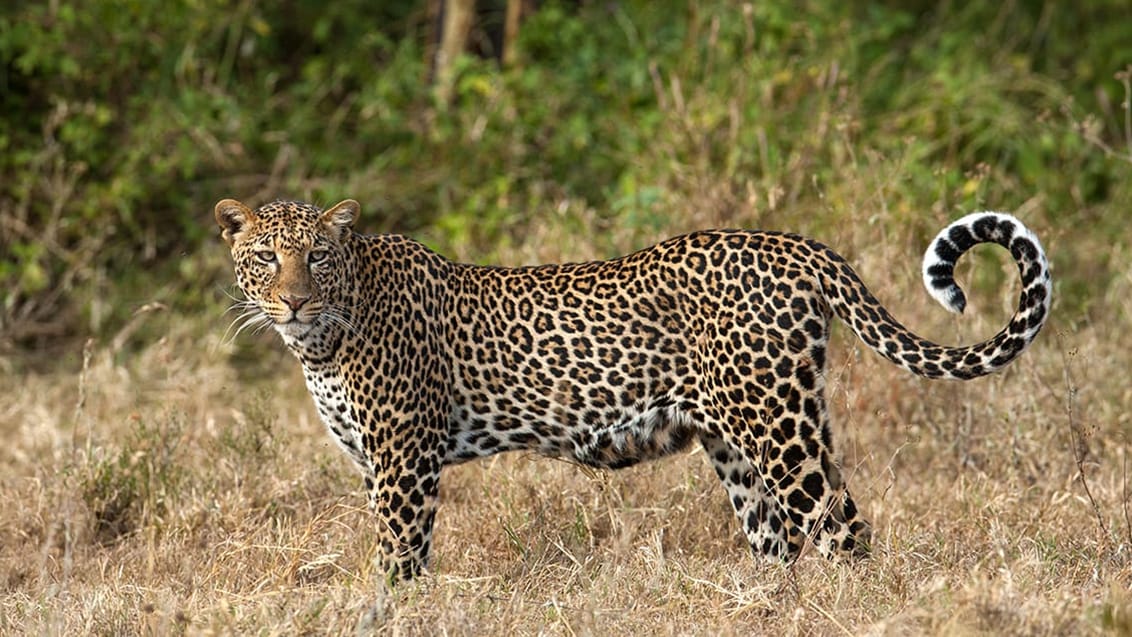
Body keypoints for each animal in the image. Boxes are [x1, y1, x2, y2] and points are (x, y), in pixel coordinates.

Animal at [213, 199, 1050, 583]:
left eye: (317, 256)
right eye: (266, 257)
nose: (294, 301)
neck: (322, 342)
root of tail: (795, 244)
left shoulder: (403, 463)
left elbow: (397, 559)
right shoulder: (372, 463)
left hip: (781, 423)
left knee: (842, 525)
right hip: (733, 440)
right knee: (777, 539)